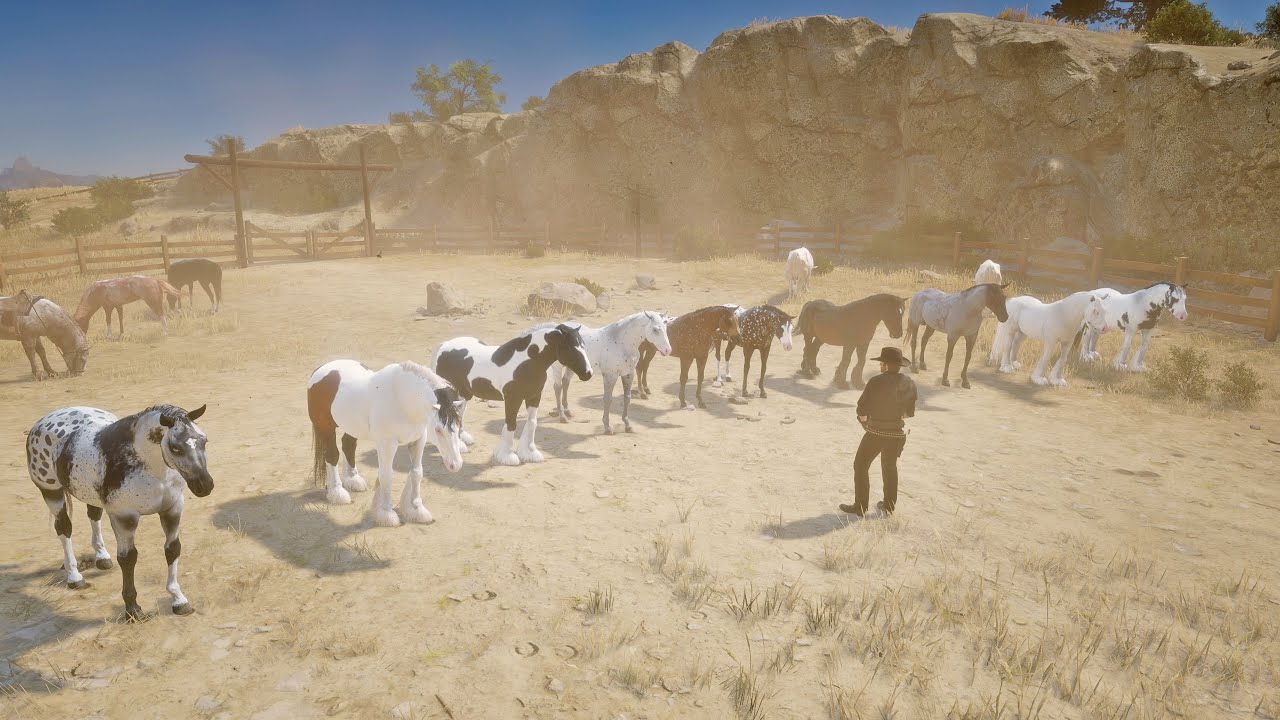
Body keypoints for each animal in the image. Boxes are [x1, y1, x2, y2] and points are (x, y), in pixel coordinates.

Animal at [26, 403, 212, 621]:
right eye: (175, 447)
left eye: (204, 440)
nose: (205, 485)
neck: (153, 470)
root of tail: (46, 419)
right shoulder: (125, 516)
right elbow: (128, 558)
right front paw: (133, 609)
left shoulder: (172, 508)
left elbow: (172, 549)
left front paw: (179, 600)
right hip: (51, 492)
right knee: (64, 528)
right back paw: (74, 576)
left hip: (90, 493)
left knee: (94, 515)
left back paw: (102, 557)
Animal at [307, 360, 465, 525]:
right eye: (438, 429)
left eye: (459, 425)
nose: (455, 465)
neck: (402, 400)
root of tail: (321, 369)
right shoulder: (387, 444)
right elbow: (387, 475)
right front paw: (387, 514)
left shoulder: (418, 440)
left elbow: (416, 472)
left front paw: (416, 510)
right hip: (326, 428)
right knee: (332, 456)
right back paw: (337, 493)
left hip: (352, 427)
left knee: (348, 446)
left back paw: (353, 480)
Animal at [433, 325, 593, 466]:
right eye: (571, 347)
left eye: (583, 346)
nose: (588, 374)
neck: (528, 361)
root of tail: (444, 346)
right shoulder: (512, 399)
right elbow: (511, 424)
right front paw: (507, 456)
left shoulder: (534, 396)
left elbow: (532, 423)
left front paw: (530, 453)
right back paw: (458, 446)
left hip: (465, 394)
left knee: (459, 413)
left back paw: (463, 440)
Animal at [533, 311, 672, 434]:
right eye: (655, 329)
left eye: (666, 328)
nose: (667, 350)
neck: (621, 343)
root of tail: (554, 329)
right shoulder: (610, 376)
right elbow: (607, 399)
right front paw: (607, 427)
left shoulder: (628, 374)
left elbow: (627, 398)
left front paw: (627, 425)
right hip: (558, 366)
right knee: (558, 387)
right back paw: (562, 417)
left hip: (572, 367)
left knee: (565, 383)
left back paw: (568, 411)